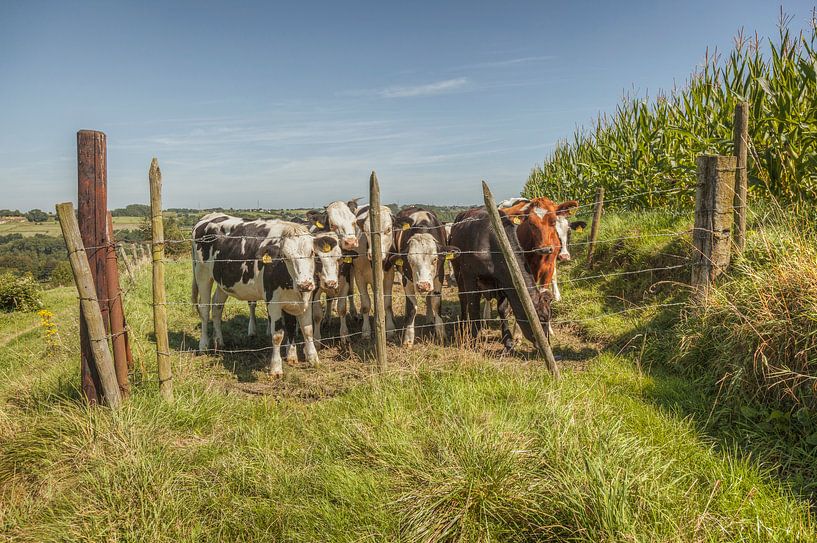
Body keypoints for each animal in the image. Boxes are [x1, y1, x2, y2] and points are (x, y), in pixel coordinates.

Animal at [191, 213, 322, 376]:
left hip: (223, 281)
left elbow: (306, 329)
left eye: (312, 252)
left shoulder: (305, 299)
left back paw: (219, 341)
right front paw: (276, 368)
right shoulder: (273, 301)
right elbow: (277, 335)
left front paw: (312, 359)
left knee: (217, 307)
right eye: (285, 256)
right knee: (204, 309)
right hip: (202, 274)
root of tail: (212, 215)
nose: (304, 284)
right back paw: (203, 345)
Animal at [337, 204, 397, 343]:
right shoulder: (359, 276)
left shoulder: (389, 276)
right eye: (366, 230)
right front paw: (366, 331)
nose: (373, 253)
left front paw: (389, 328)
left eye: (388, 229)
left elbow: (387, 303)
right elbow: (365, 304)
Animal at [387, 207, 459, 347]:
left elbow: (436, 303)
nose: (423, 285)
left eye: (435, 259)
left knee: (429, 297)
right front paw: (408, 338)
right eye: (410, 260)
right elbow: (411, 308)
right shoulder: (407, 279)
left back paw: (430, 318)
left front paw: (441, 334)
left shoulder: (439, 276)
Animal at [449, 208, 553, 352]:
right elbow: (473, 307)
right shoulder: (470, 275)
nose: (547, 345)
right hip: (457, 269)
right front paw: (474, 340)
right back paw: (463, 324)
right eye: (542, 318)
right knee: (463, 298)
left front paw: (508, 342)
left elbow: (503, 309)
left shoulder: (504, 280)